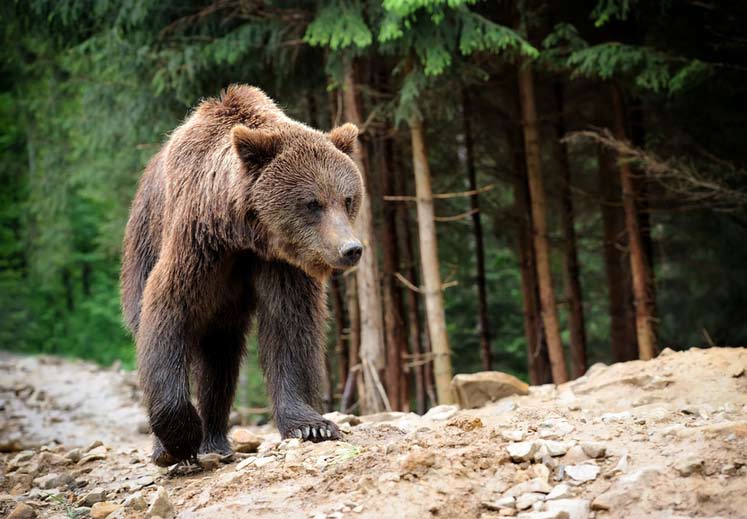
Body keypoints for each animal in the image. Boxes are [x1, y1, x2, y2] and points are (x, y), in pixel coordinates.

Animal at [120, 85, 366, 468]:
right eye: (313, 203)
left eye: (348, 198)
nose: (350, 249)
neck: (243, 233)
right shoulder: (198, 247)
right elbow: (167, 312)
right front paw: (179, 441)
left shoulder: (280, 265)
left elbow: (290, 328)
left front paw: (312, 426)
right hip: (142, 242)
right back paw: (176, 448)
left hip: (224, 313)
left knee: (220, 361)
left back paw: (216, 440)